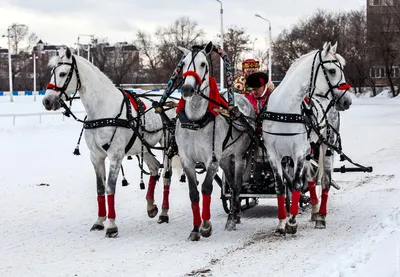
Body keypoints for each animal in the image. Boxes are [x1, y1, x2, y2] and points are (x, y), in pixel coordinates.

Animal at [41, 48, 177, 237]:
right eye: (52, 73)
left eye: (62, 73)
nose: (46, 101)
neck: (102, 110)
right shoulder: (96, 157)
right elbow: (100, 188)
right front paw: (99, 221)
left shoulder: (115, 156)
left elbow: (110, 188)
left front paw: (111, 225)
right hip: (143, 146)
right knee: (155, 167)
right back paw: (151, 206)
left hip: (167, 145)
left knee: (166, 176)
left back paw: (164, 212)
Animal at [176, 42, 256, 240]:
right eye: (183, 63)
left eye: (203, 63)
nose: (187, 89)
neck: (196, 121)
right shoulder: (187, 161)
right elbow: (193, 193)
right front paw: (195, 229)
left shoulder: (211, 160)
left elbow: (206, 188)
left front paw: (206, 226)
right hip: (225, 158)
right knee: (230, 183)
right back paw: (234, 215)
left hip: (239, 156)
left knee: (237, 186)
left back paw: (233, 218)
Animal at [264, 42, 352, 234]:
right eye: (332, 70)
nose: (347, 101)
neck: (284, 110)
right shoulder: (273, 154)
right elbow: (280, 187)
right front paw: (281, 223)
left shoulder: (298, 152)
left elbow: (296, 184)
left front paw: (292, 222)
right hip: (309, 151)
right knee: (311, 179)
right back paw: (314, 210)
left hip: (327, 147)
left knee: (325, 181)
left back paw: (321, 217)